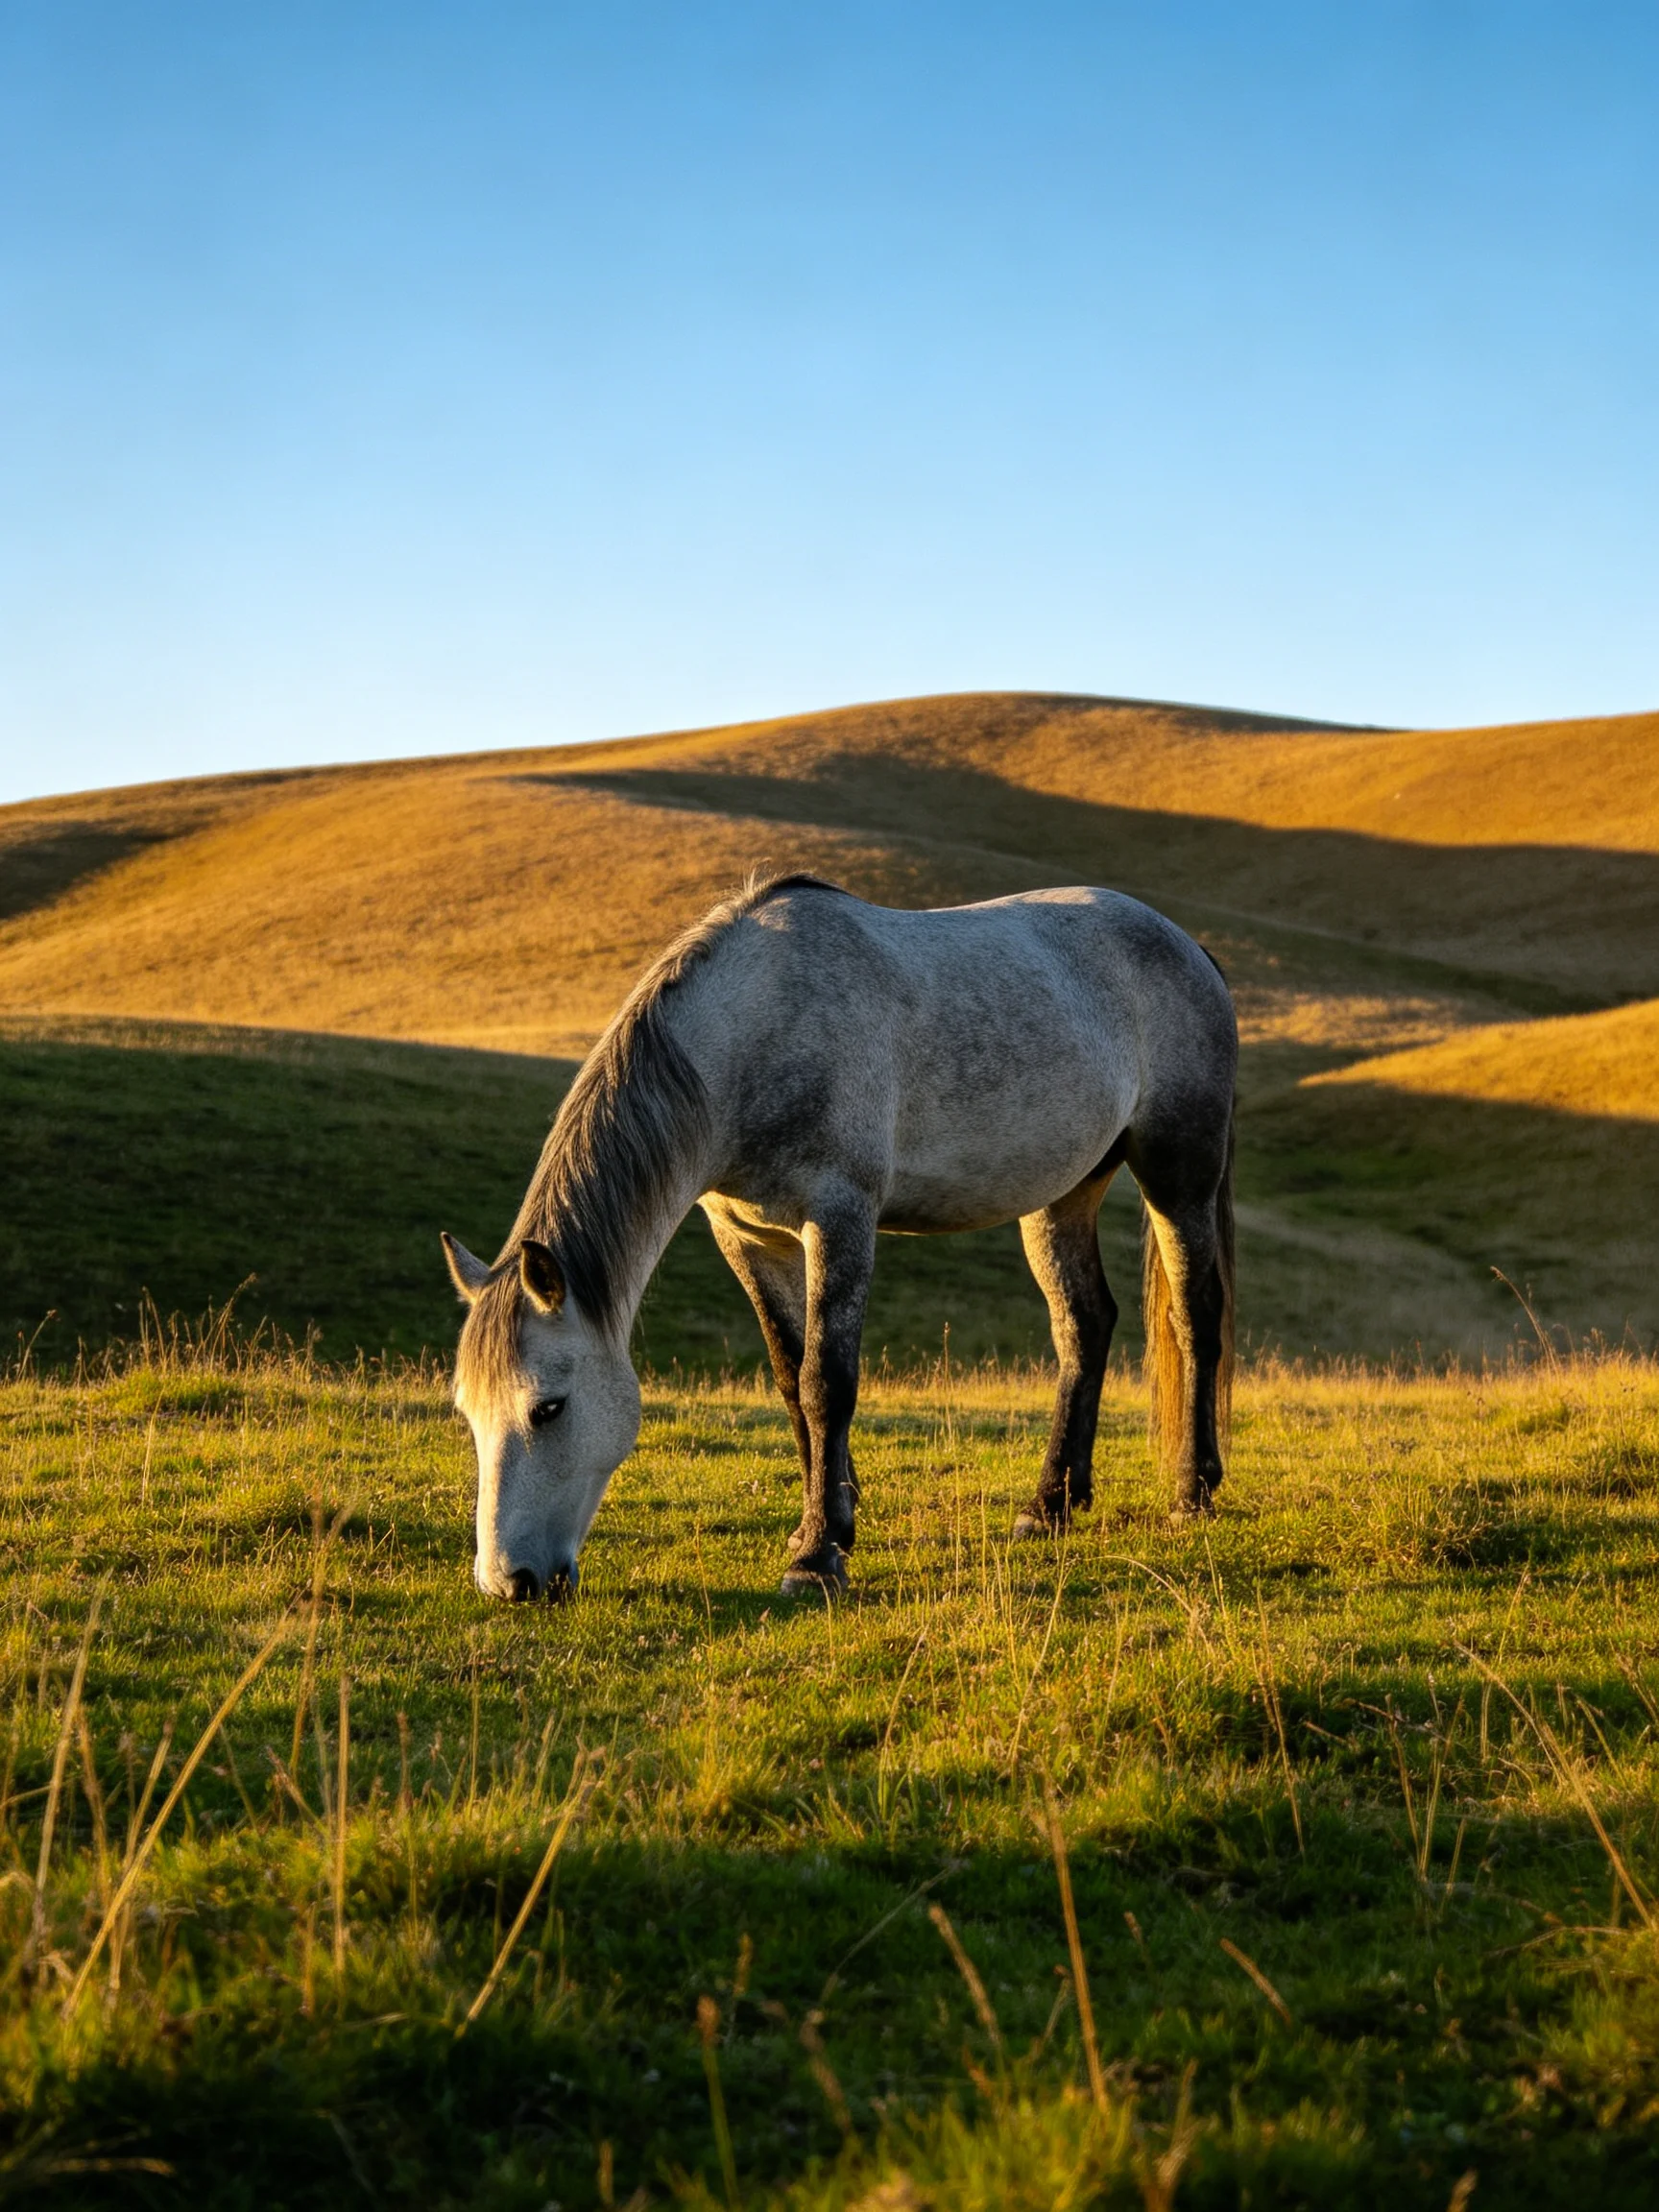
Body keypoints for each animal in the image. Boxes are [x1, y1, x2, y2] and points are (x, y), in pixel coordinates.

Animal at [442, 872, 1236, 1603]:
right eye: (467, 1412)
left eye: (549, 1407)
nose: (509, 1581)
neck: (757, 1031)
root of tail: (1187, 945)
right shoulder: (748, 1238)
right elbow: (791, 1381)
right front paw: (831, 1519)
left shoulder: (840, 1217)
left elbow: (828, 1381)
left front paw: (817, 1555)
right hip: (1063, 1193)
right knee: (1084, 1325)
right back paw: (1051, 1505)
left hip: (1178, 1174)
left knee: (1196, 1316)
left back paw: (1192, 1493)